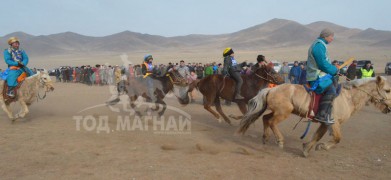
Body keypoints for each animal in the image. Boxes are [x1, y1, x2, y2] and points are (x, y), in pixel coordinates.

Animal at [237, 76, 391, 157]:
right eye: (388, 90)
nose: (389, 108)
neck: (348, 97)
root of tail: (271, 89)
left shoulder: (325, 123)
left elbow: (317, 136)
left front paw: (306, 149)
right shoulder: (334, 123)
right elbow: (337, 138)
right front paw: (322, 147)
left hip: (279, 111)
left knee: (266, 119)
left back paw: (265, 138)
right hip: (284, 112)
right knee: (272, 122)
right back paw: (279, 141)